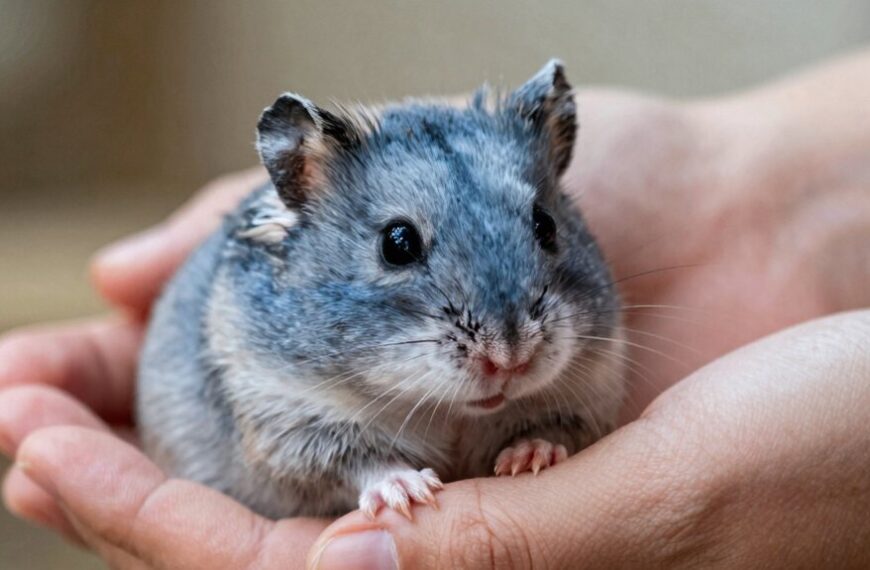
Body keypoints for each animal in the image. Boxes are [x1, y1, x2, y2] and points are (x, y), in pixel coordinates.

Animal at [137, 60, 626, 520]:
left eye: (546, 225)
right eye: (397, 243)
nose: (510, 360)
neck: (452, 410)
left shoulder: (593, 392)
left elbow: (552, 429)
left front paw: (528, 458)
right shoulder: (286, 421)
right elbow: (360, 462)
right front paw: (411, 493)